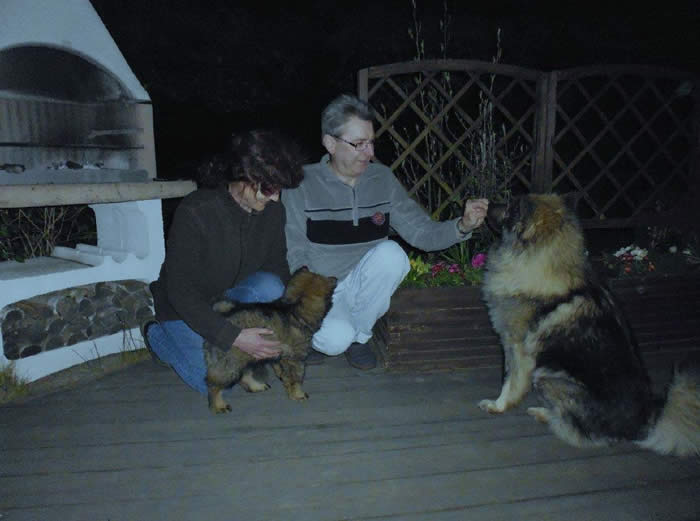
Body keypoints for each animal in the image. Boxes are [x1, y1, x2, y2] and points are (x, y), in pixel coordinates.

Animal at [203, 267, 336, 414]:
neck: (294, 306)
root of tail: (223, 315)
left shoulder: (281, 354)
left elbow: (281, 370)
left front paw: (285, 383)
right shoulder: (295, 358)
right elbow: (296, 378)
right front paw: (298, 394)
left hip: (247, 355)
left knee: (244, 374)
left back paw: (255, 386)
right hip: (231, 361)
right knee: (213, 384)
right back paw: (218, 404)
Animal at [478, 193, 700, 456]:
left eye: (510, 207)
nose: (486, 205)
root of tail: (645, 421)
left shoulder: (516, 347)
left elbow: (509, 381)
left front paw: (498, 405)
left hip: (546, 376)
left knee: (582, 431)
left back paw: (549, 417)